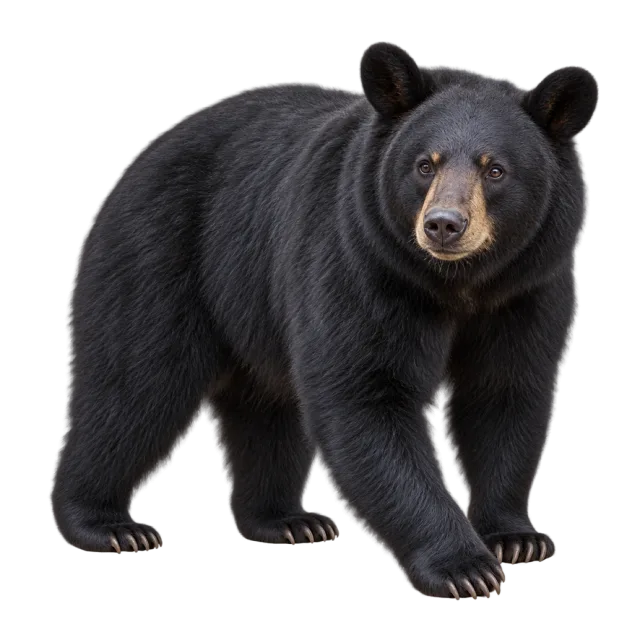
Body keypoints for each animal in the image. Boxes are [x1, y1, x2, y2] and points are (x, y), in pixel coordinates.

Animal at [53, 43, 597, 600]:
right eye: (425, 164)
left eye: (496, 170)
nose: (443, 225)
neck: (456, 283)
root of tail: (143, 158)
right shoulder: (360, 258)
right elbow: (365, 395)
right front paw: (465, 567)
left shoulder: (527, 286)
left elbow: (503, 392)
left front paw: (516, 538)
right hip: (161, 251)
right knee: (137, 383)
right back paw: (107, 526)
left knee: (262, 405)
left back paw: (285, 520)